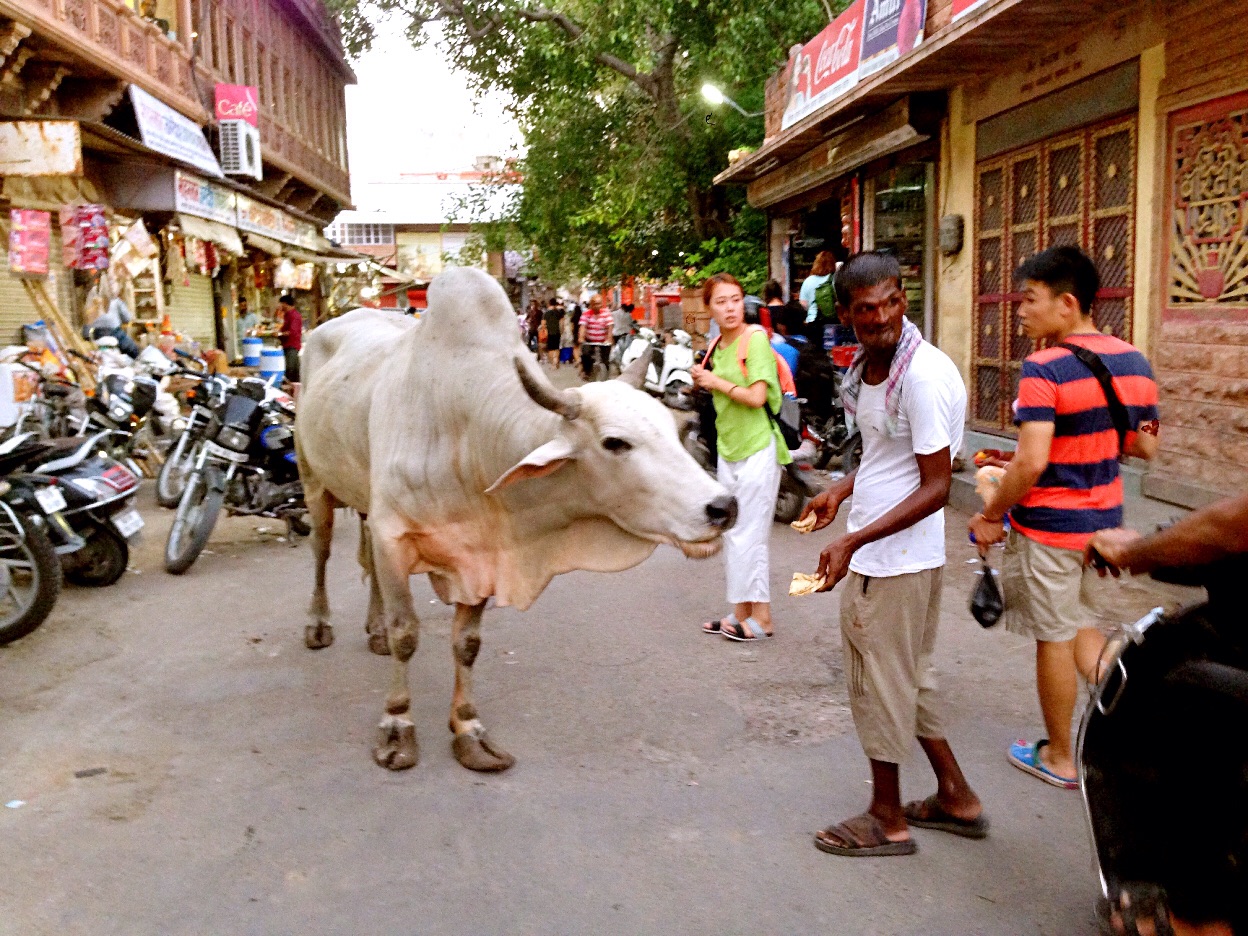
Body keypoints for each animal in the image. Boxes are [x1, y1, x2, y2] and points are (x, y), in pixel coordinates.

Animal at [295, 267, 733, 773]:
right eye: (614, 442)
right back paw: (319, 624)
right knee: (323, 550)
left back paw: (375, 629)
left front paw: (469, 730)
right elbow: (408, 633)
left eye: (673, 429)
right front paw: (397, 725)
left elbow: (467, 643)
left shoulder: (483, 552)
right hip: (314, 481)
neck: (467, 437)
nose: (723, 507)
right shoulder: (394, 536)